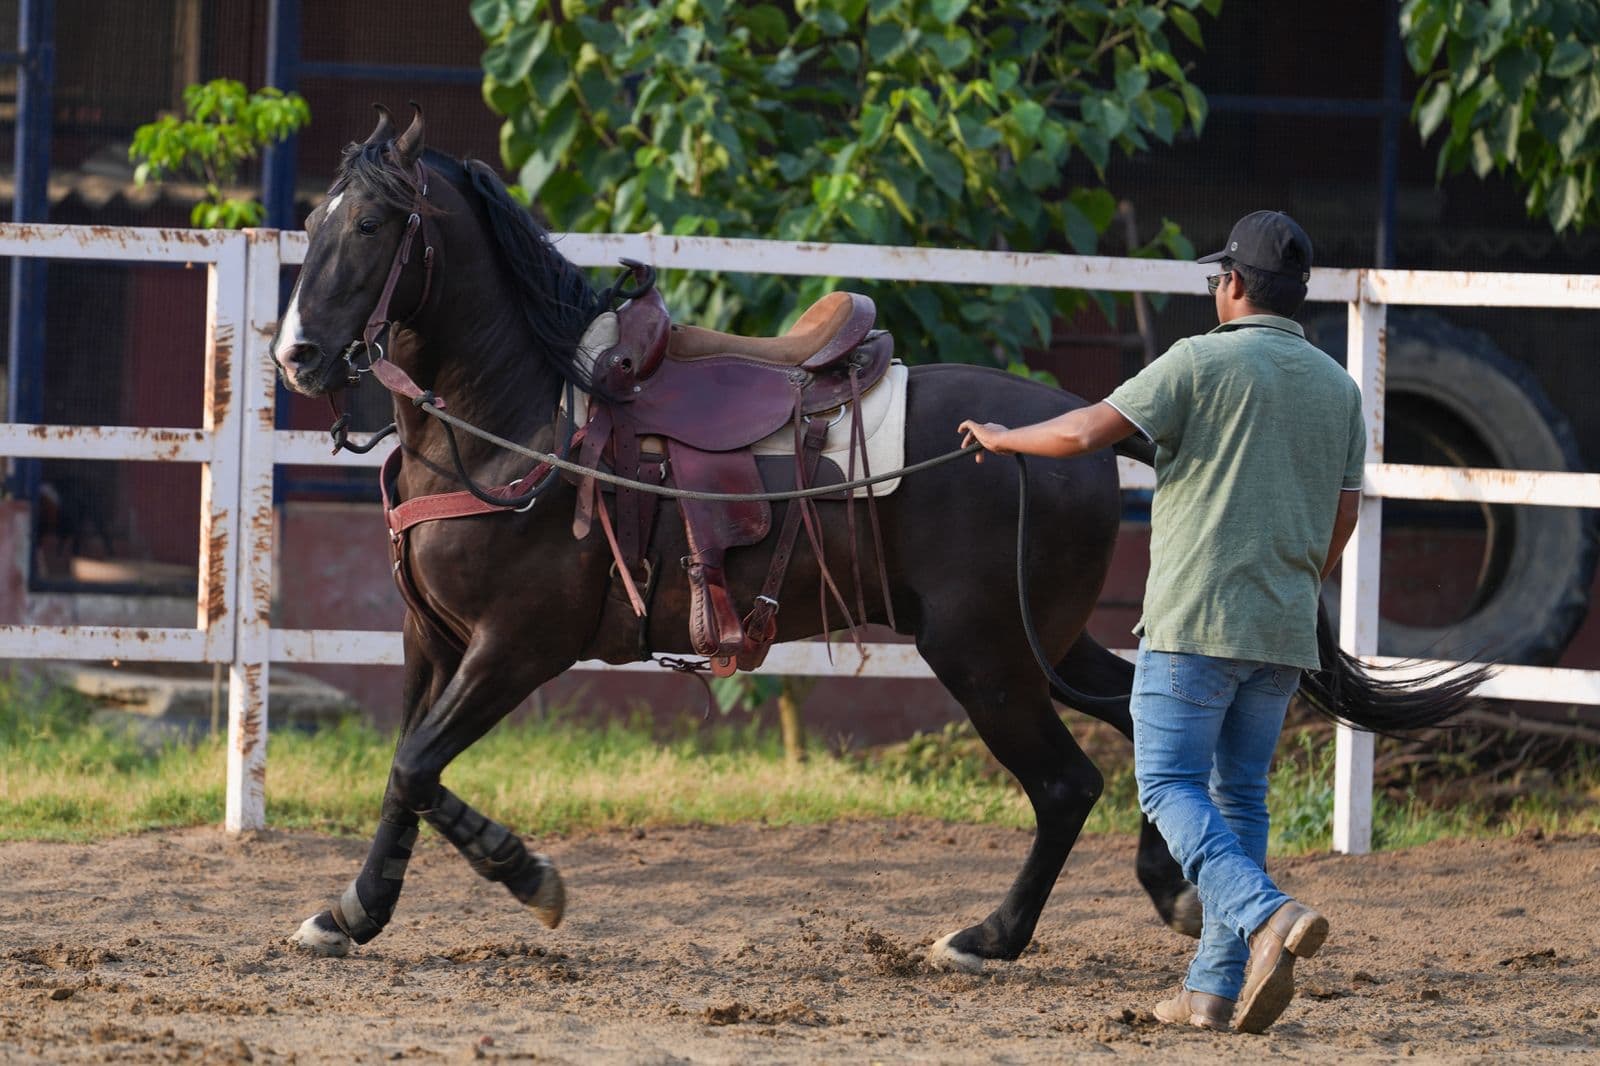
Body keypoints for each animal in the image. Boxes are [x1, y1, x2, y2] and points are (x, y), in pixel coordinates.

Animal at [272, 107, 1481, 969]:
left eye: (371, 226)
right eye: (314, 222)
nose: (297, 356)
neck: (525, 418)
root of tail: (1097, 432)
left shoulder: (521, 642)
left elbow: (417, 763)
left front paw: (525, 876)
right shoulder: (432, 640)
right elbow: (403, 771)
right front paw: (352, 913)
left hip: (982, 653)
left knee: (1064, 784)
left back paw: (988, 938)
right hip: (1041, 642)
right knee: (1136, 724)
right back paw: (1167, 886)